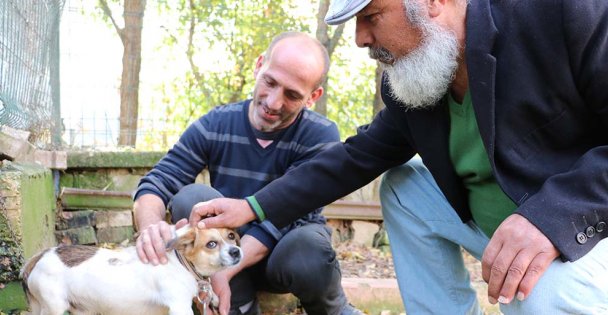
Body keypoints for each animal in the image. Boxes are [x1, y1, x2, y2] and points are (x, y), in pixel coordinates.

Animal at [19, 227, 242, 315]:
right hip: (54, 307)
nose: (237, 251)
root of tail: (37, 257)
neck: (180, 262)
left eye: (231, 236)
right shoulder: (180, 307)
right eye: (211, 244)